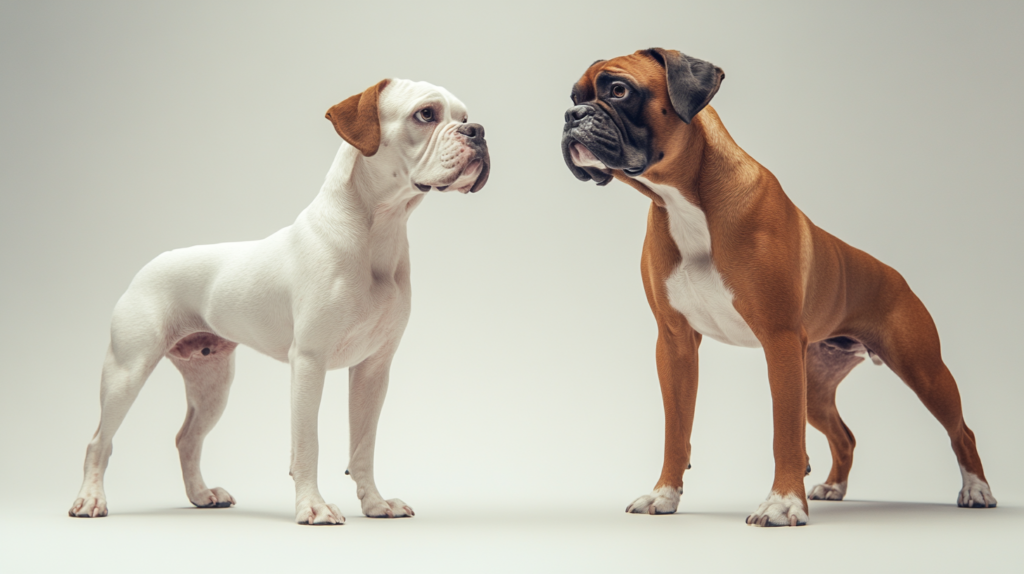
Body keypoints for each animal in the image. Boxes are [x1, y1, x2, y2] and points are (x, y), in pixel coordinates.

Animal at [69, 78, 491, 527]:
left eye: (464, 116)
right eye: (425, 114)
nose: (478, 131)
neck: (379, 229)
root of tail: (149, 265)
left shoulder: (374, 369)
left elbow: (363, 446)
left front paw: (376, 504)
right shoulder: (309, 362)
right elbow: (308, 443)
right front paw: (314, 507)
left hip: (212, 384)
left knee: (187, 439)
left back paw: (202, 495)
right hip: (126, 371)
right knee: (99, 441)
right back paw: (90, 500)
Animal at [565, 48, 995, 523]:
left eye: (619, 90)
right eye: (573, 98)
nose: (571, 116)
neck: (683, 202)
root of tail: (895, 275)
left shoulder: (779, 340)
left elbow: (784, 433)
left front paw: (783, 503)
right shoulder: (675, 344)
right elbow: (676, 429)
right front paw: (664, 495)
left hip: (922, 370)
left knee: (962, 431)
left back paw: (977, 490)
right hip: (816, 387)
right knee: (845, 436)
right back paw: (833, 487)